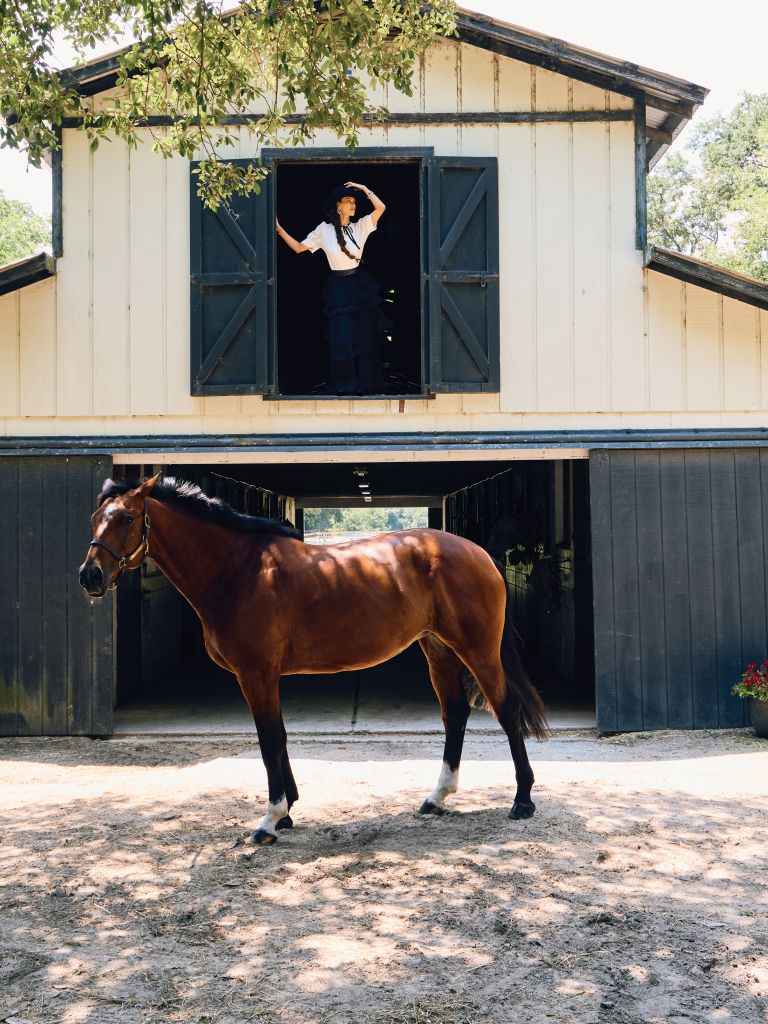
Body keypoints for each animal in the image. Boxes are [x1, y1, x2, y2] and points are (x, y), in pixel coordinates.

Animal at [81, 475, 548, 843]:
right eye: (94, 519)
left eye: (126, 519)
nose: (90, 576)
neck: (239, 570)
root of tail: (479, 553)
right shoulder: (265, 676)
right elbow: (280, 736)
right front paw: (288, 811)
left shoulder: (256, 675)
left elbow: (269, 740)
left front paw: (270, 820)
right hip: (439, 651)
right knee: (455, 715)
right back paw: (436, 798)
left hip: (478, 651)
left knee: (506, 710)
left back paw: (522, 800)